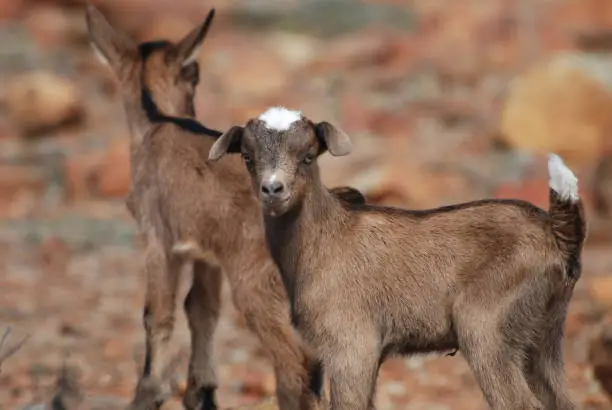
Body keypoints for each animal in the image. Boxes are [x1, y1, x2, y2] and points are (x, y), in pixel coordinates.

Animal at [86, 6, 364, 410]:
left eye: (195, 74)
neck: (159, 121)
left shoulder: (157, 240)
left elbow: (158, 315)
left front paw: (149, 395)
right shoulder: (208, 254)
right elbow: (201, 310)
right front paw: (201, 392)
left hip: (258, 290)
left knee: (298, 367)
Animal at [209, 107, 588, 410]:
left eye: (308, 156)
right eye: (247, 156)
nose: (273, 190)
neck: (325, 240)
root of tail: (557, 235)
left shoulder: (351, 345)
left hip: (487, 328)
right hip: (543, 337)